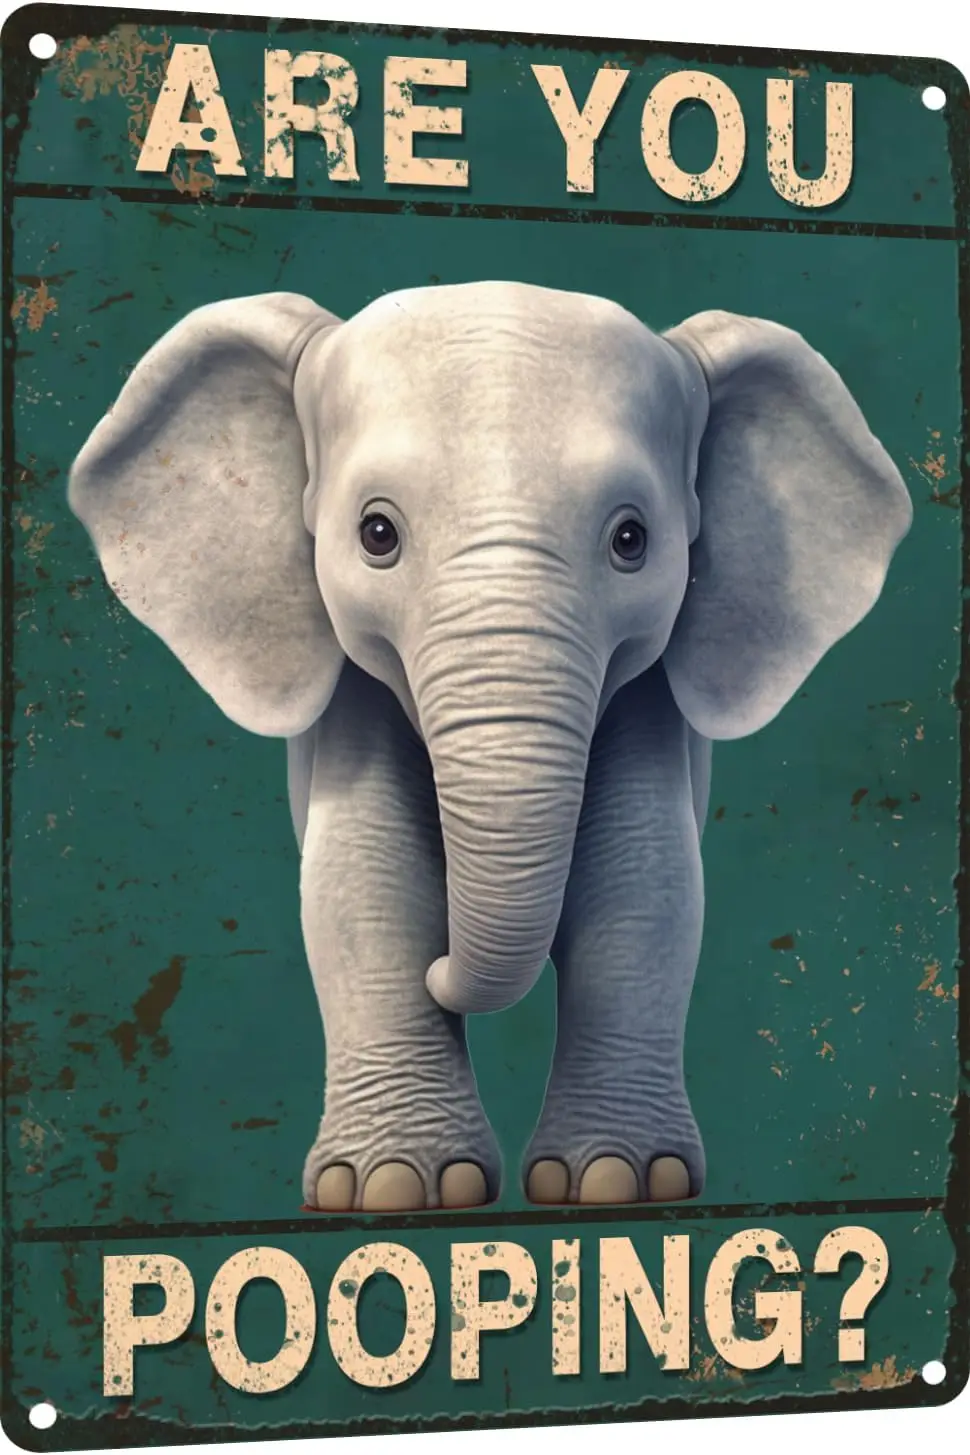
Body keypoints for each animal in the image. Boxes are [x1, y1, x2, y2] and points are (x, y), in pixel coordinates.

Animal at [68, 280, 912, 1213]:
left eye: (631, 541)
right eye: (376, 535)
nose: (450, 968)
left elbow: (640, 885)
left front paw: (618, 1181)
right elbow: (367, 883)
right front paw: (391, 1189)